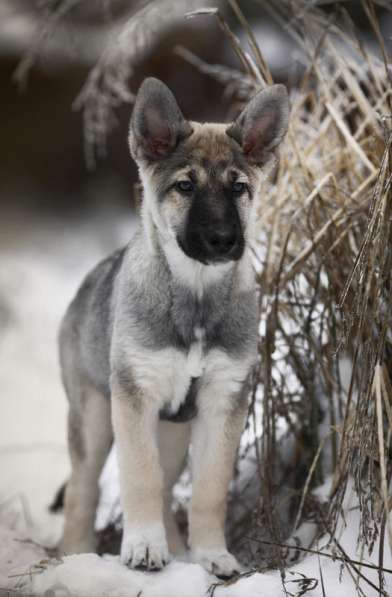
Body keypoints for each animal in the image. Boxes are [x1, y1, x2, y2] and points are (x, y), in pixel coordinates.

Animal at [60, 77, 288, 576]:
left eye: (239, 188)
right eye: (185, 186)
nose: (223, 240)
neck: (195, 299)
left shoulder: (223, 401)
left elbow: (208, 490)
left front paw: (210, 554)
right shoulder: (135, 396)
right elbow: (139, 476)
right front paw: (143, 548)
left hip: (173, 430)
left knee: (165, 486)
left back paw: (177, 549)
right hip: (93, 418)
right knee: (82, 492)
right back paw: (77, 554)